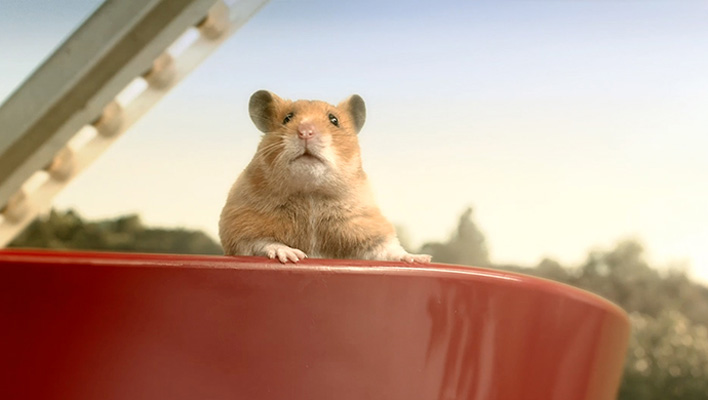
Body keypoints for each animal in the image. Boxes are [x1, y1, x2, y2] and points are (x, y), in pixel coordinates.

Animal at [218, 90, 432, 264]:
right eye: (287, 118)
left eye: (334, 120)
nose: (305, 132)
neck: (311, 193)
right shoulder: (242, 226)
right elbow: (265, 242)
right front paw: (294, 256)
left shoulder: (363, 227)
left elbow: (387, 249)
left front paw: (420, 258)